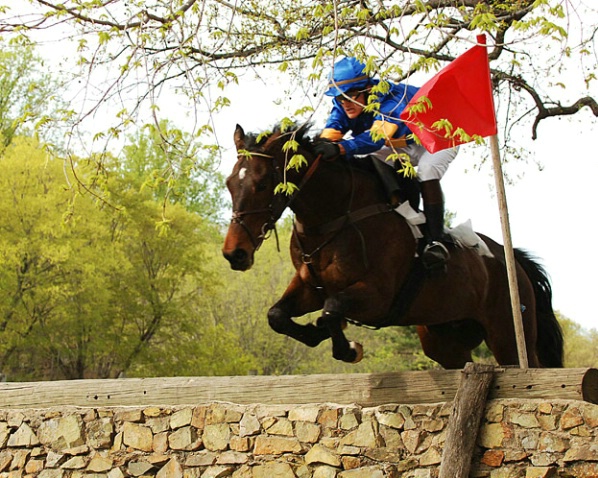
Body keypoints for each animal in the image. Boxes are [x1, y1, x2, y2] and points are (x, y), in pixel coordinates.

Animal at [223, 121, 564, 368]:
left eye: (262, 184)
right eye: (229, 183)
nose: (235, 254)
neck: (334, 216)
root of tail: (513, 261)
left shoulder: (378, 297)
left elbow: (332, 310)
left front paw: (348, 347)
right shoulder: (310, 286)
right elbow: (277, 316)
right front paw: (317, 332)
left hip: (508, 333)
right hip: (444, 339)